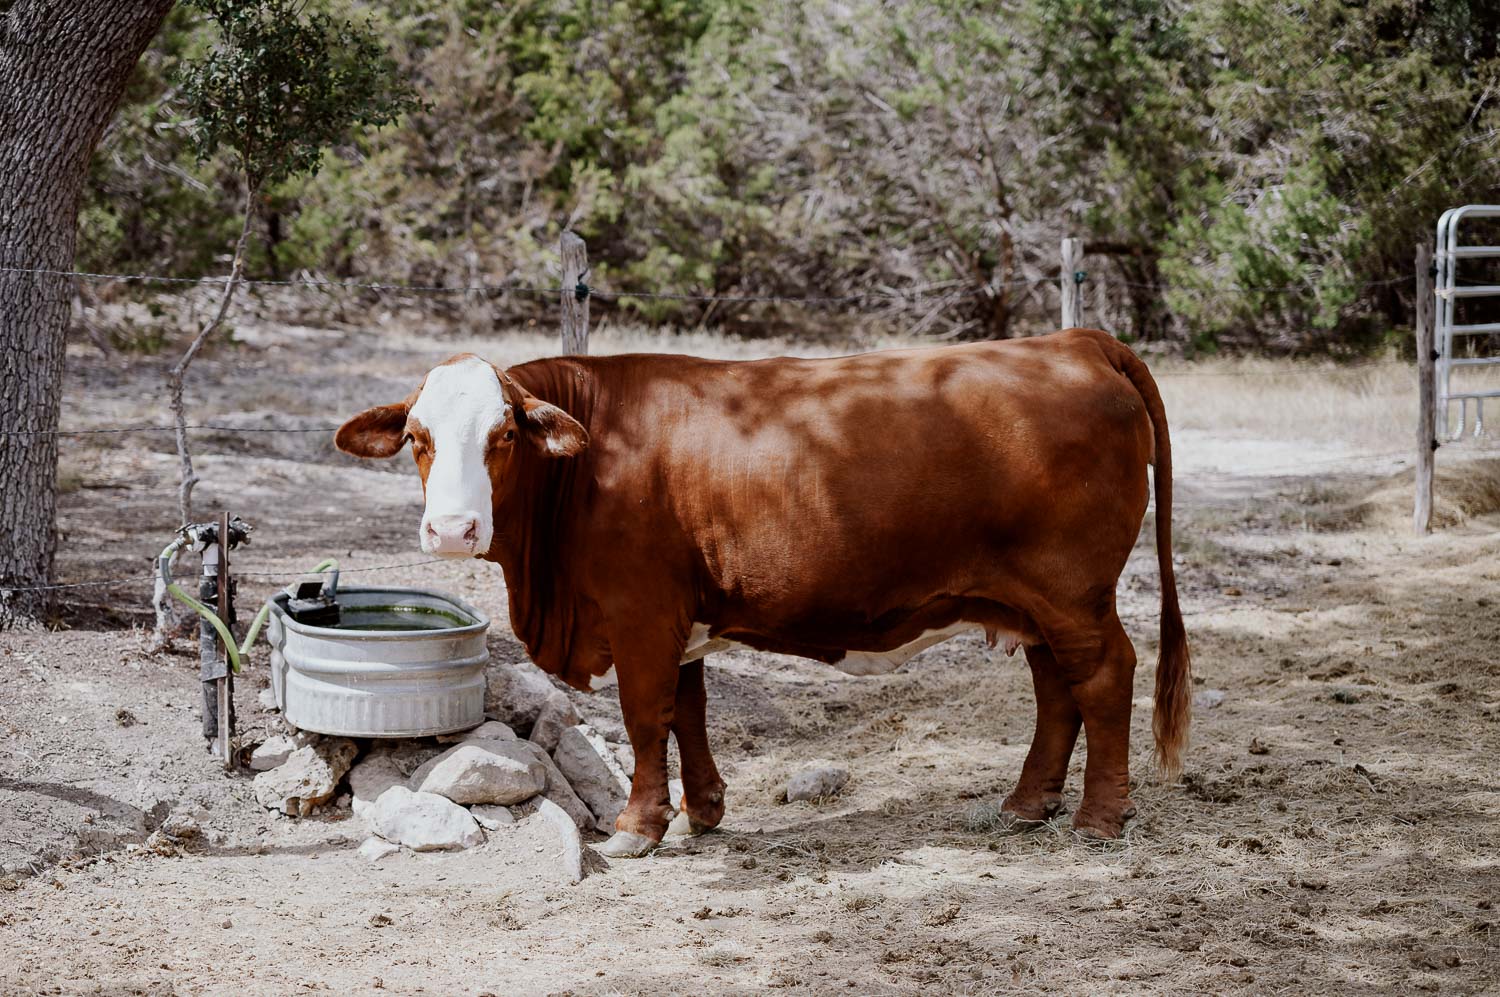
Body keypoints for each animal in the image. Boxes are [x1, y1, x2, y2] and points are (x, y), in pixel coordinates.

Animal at [340, 328, 1194, 857]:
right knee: (1058, 691)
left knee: (1104, 677)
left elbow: (645, 716)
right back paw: (1027, 805)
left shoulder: (641, 611)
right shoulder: (678, 616)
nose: (451, 529)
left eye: (505, 435)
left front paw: (637, 826)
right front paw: (705, 810)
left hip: (1073, 592)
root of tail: (1073, 341)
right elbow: (687, 710)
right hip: (1029, 600)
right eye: (417, 437)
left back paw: (1098, 817)